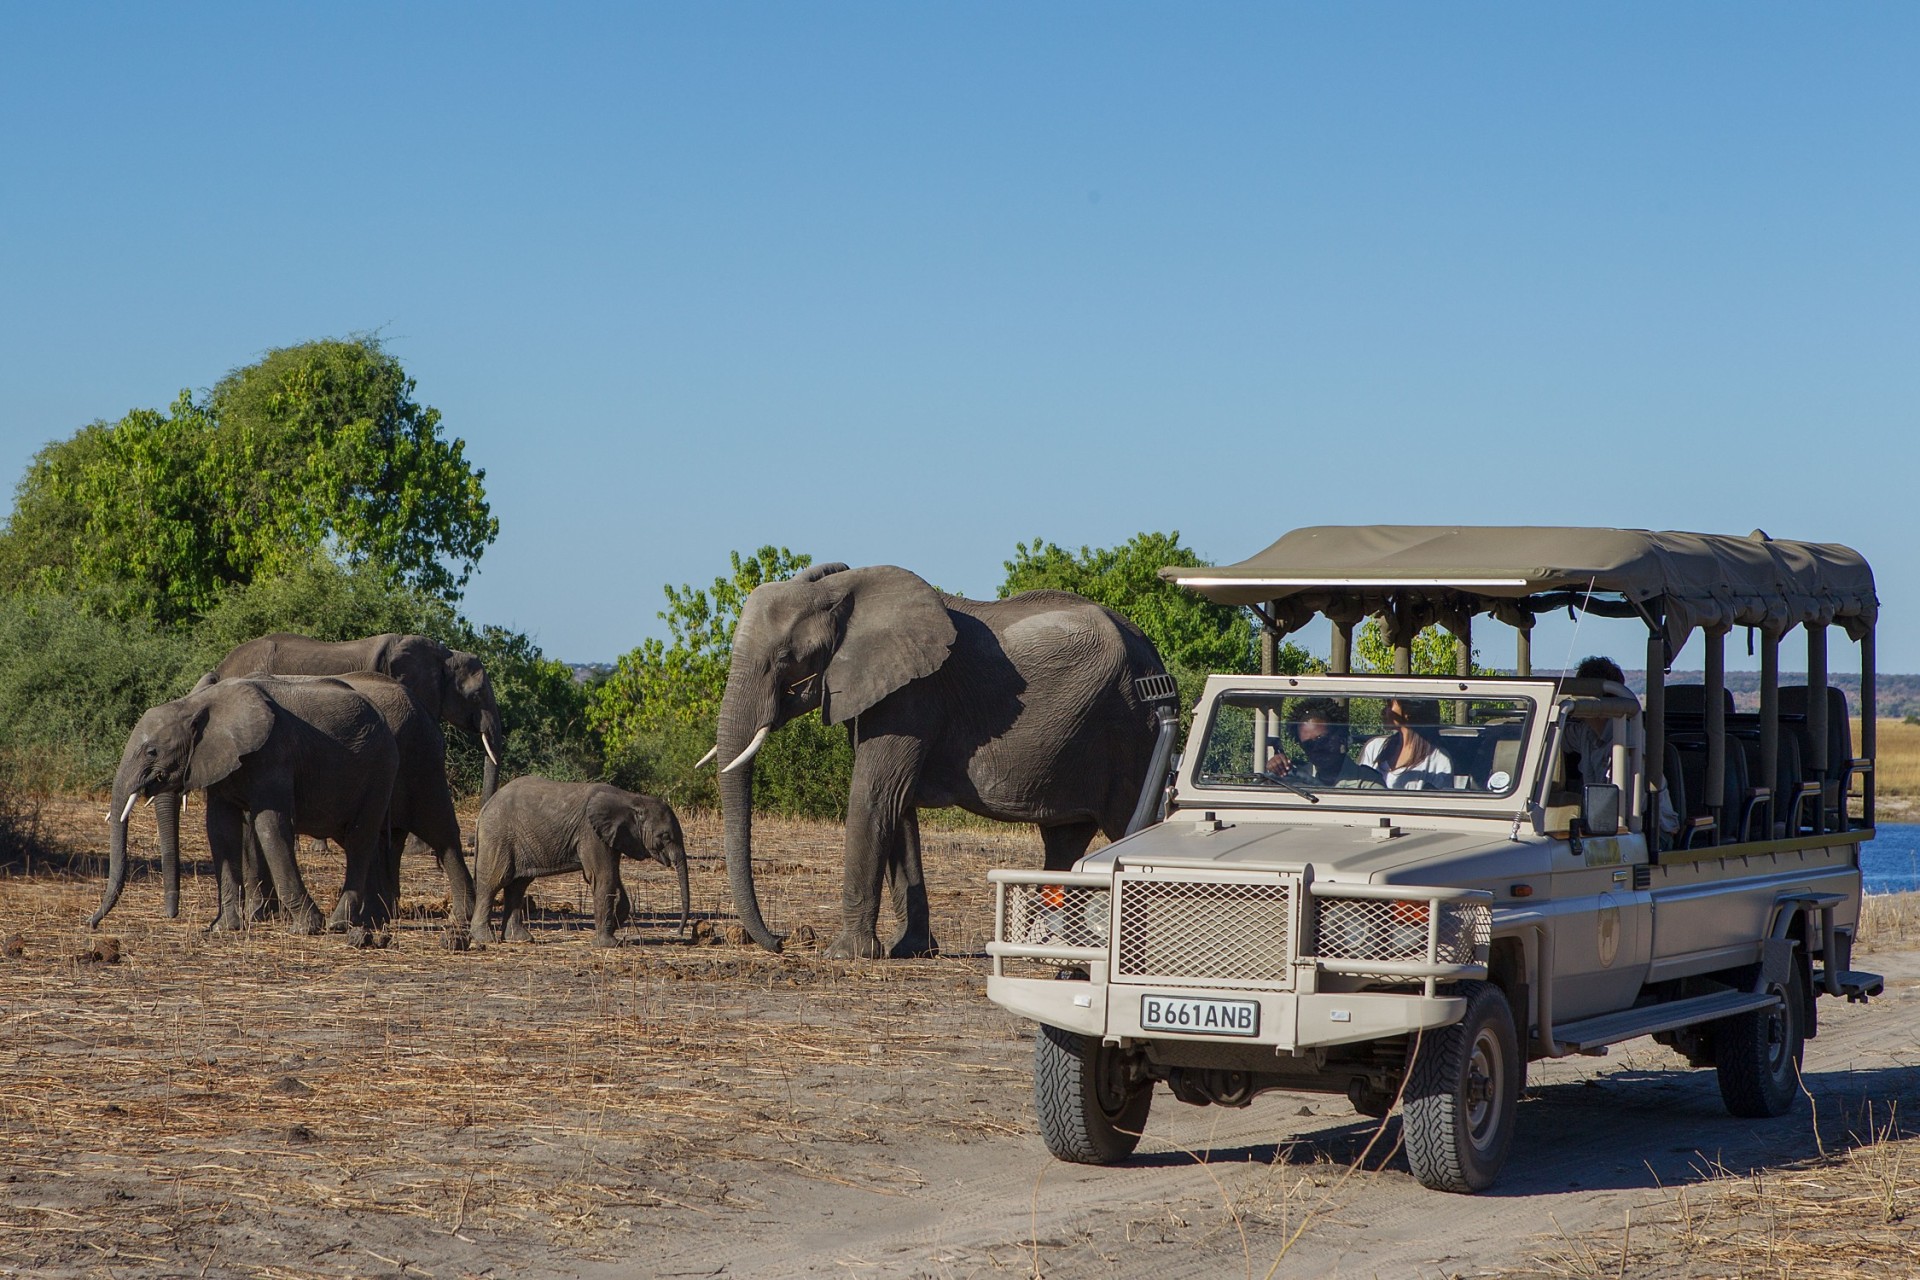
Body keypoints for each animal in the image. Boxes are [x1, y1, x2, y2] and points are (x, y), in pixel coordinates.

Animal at [96, 675, 401, 936]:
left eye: (152, 752)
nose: (93, 923)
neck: (195, 704)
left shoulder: (273, 754)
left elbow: (270, 826)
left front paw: (306, 928)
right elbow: (220, 829)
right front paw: (223, 928)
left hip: (381, 768)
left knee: (360, 837)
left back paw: (341, 923)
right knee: (358, 839)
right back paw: (373, 919)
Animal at [470, 775, 695, 948]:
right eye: (665, 836)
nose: (678, 933)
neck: (632, 799)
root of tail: (485, 807)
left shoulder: (611, 836)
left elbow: (613, 878)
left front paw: (614, 925)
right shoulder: (591, 833)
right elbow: (603, 877)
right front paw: (609, 944)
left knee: (518, 885)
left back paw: (520, 939)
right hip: (498, 836)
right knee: (494, 881)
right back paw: (486, 939)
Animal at [721, 564, 1167, 959]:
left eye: (785, 657)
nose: (781, 941)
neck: (841, 592)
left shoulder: (914, 694)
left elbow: (874, 795)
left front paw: (844, 955)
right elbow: (897, 807)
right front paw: (911, 950)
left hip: (1133, 730)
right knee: (1064, 838)